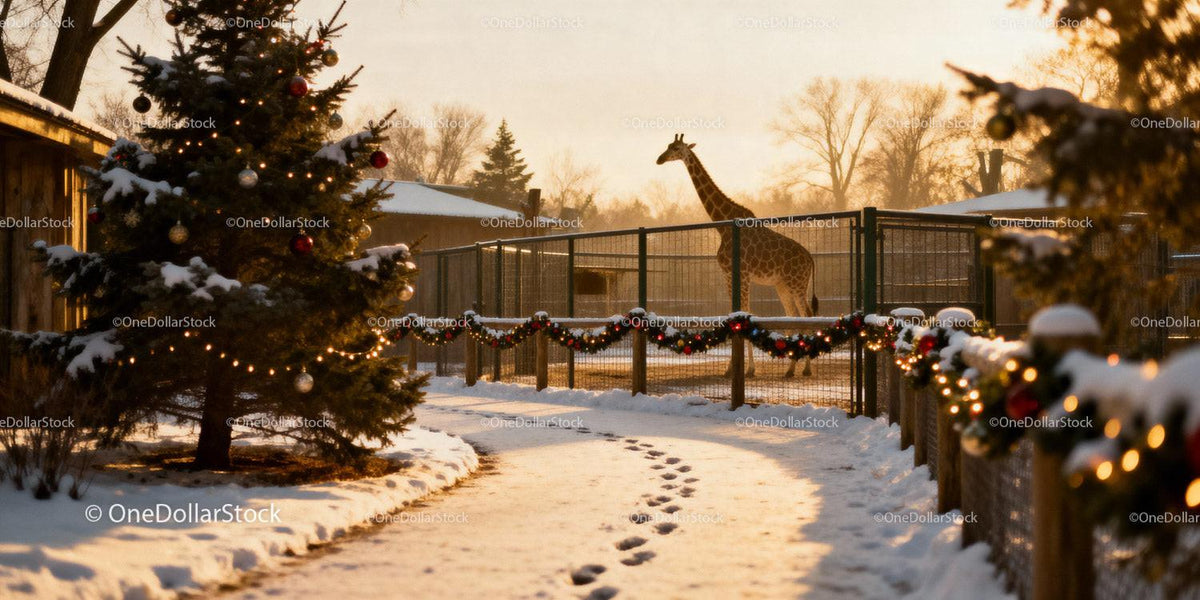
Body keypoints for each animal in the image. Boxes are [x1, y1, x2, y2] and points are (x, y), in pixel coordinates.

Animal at [656, 134, 819, 377]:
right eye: (667, 146)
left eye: (675, 148)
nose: (659, 159)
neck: (721, 226)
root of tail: (810, 258)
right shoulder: (728, 274)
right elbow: (735, 313)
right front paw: (733, 368)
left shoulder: (741, 273)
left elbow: (745, 313)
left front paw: (747, 369)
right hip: (784, 284)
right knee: (795, 316)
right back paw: (791, 369)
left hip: (796, 282)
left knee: (807, 315)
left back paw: (805, 369)